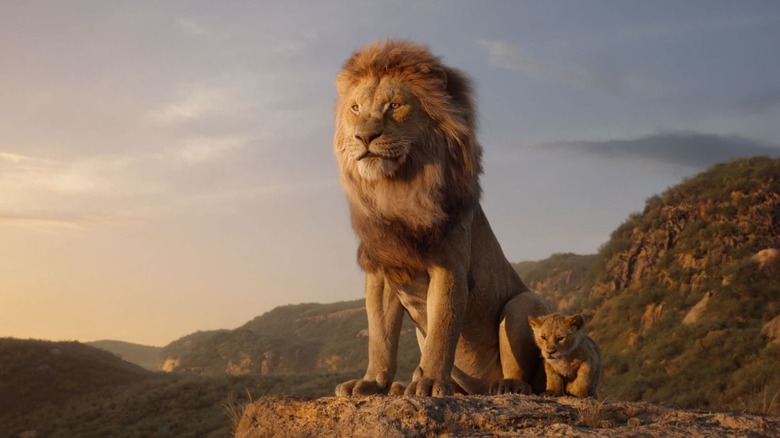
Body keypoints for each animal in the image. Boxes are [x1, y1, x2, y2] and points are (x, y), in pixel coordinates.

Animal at [334, 42, 548, 396]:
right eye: (355, 108)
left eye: (394, 106)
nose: (364, 137)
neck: (397, 189)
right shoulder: (382, 271)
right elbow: (380, 337)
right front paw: (371, 382)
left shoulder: (450, 267)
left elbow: (442, 330)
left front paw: (431, 382)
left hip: (524, 303)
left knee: (524, 373)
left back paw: (506, 386)